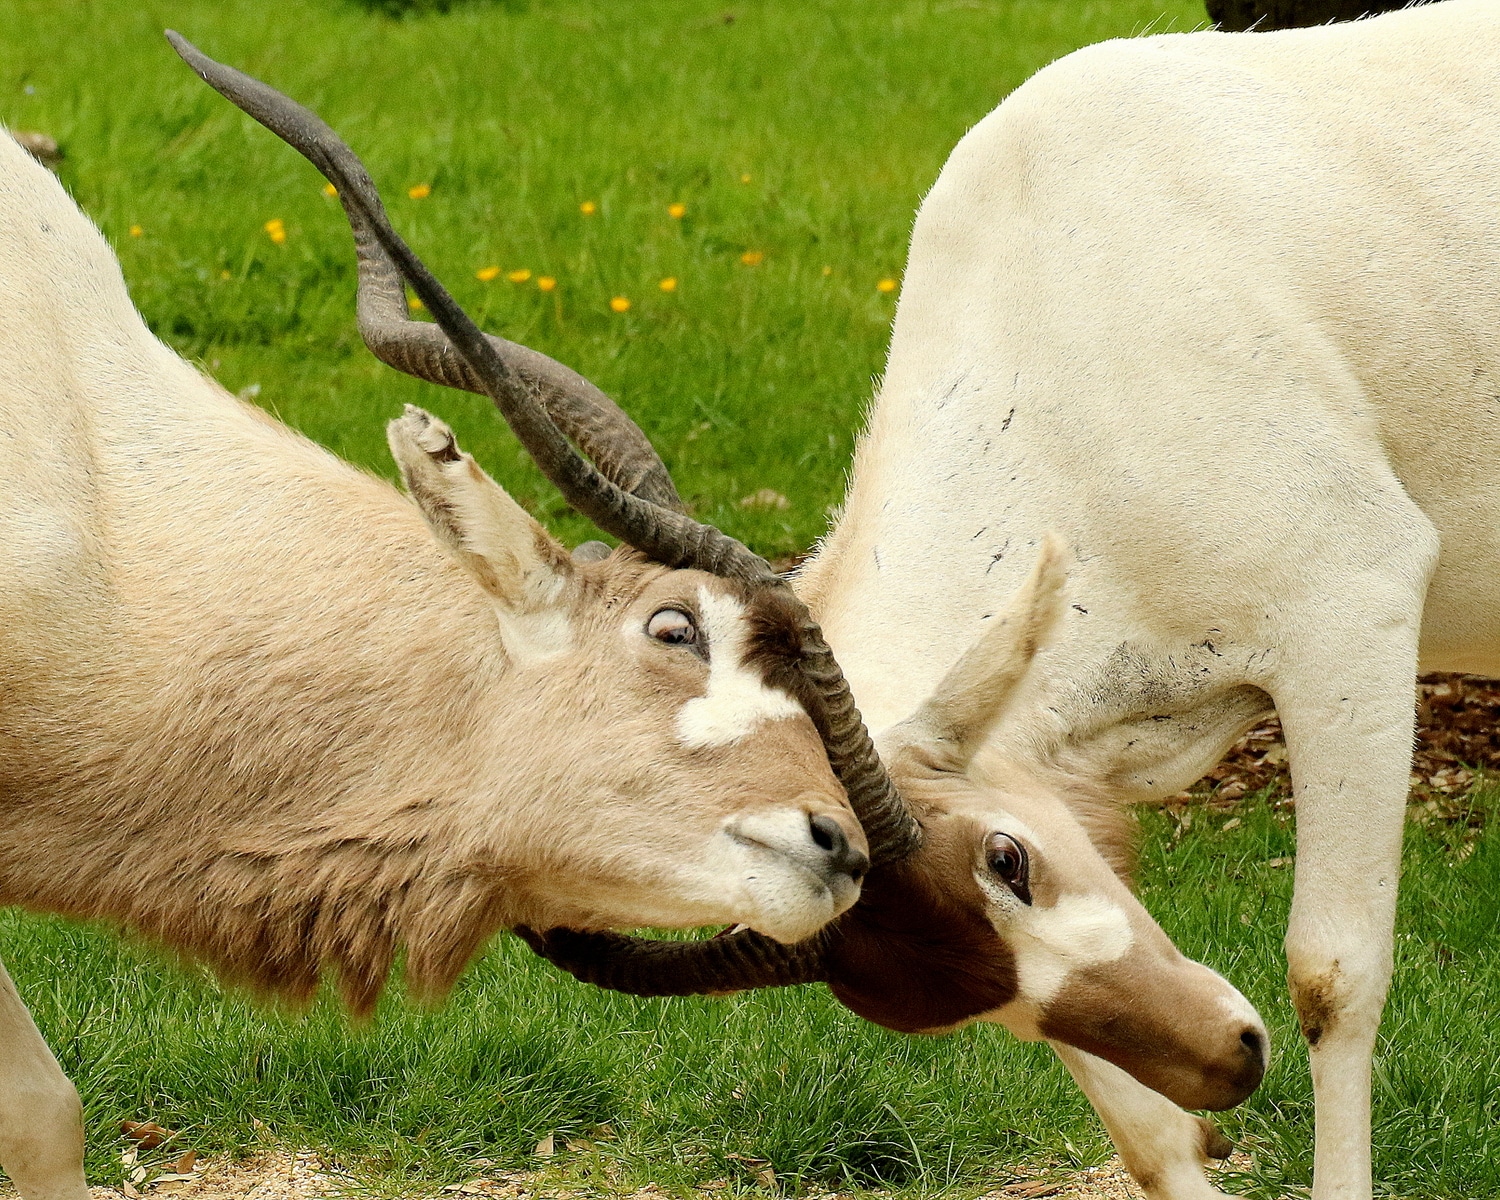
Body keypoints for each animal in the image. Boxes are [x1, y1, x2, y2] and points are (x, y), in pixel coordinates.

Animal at [540, 2, 1500, 1200]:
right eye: (947, 1009)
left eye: (1006, 861)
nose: (1229, 1063)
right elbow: (1135, 1116)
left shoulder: (1351, 614)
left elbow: (1332, 976)